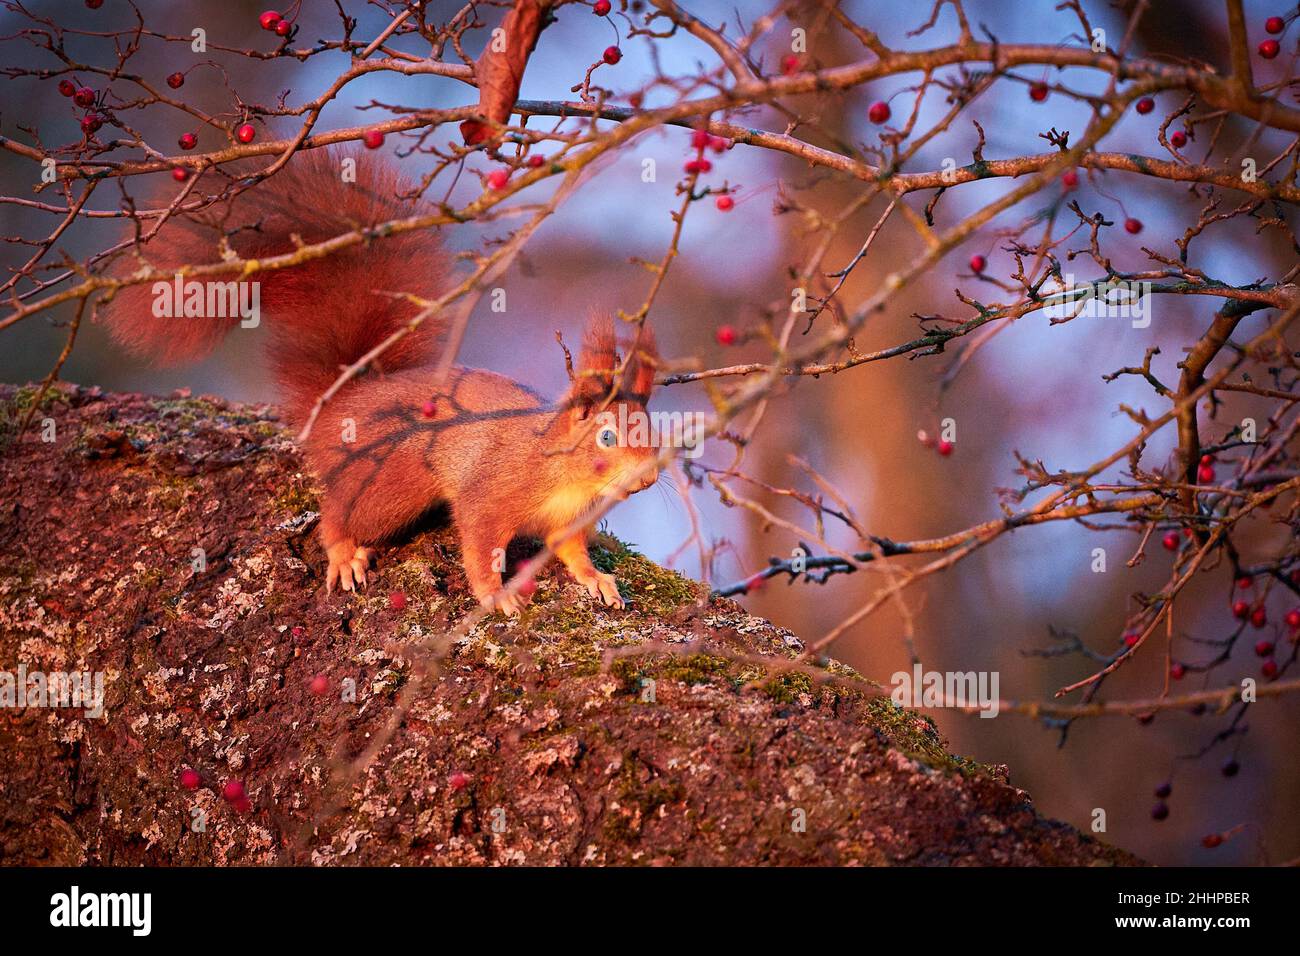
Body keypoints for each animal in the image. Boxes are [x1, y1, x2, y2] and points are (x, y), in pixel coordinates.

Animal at [102, 148, 661, 614]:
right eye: (606, 435)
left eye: (652, 426)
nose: (651, 477)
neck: (568, 475)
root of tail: (341, 403)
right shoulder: (491, 492)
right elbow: (480, 544)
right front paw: (494, 593)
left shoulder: (567, 520)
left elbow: (572, 551)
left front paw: (598, 578)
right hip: (389, 485)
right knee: (337, 513)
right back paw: (343, 552)